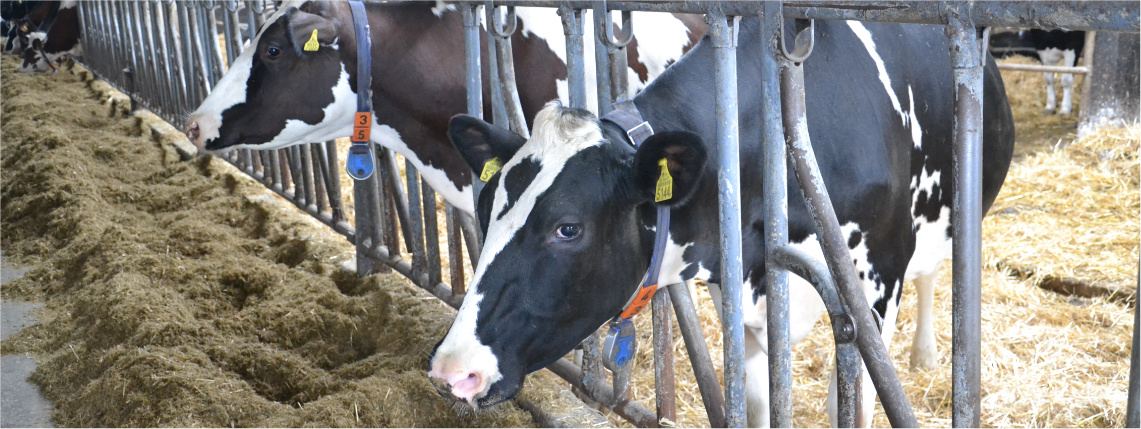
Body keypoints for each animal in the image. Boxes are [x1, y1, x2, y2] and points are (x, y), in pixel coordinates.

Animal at [429, 17, 1017, 426]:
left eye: (567, 228)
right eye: (485, 208)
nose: (453, 369)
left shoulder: (873, 288)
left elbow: (851, 404)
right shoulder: (739, 293)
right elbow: (756, 405)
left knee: (933, 270)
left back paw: (924, 355)